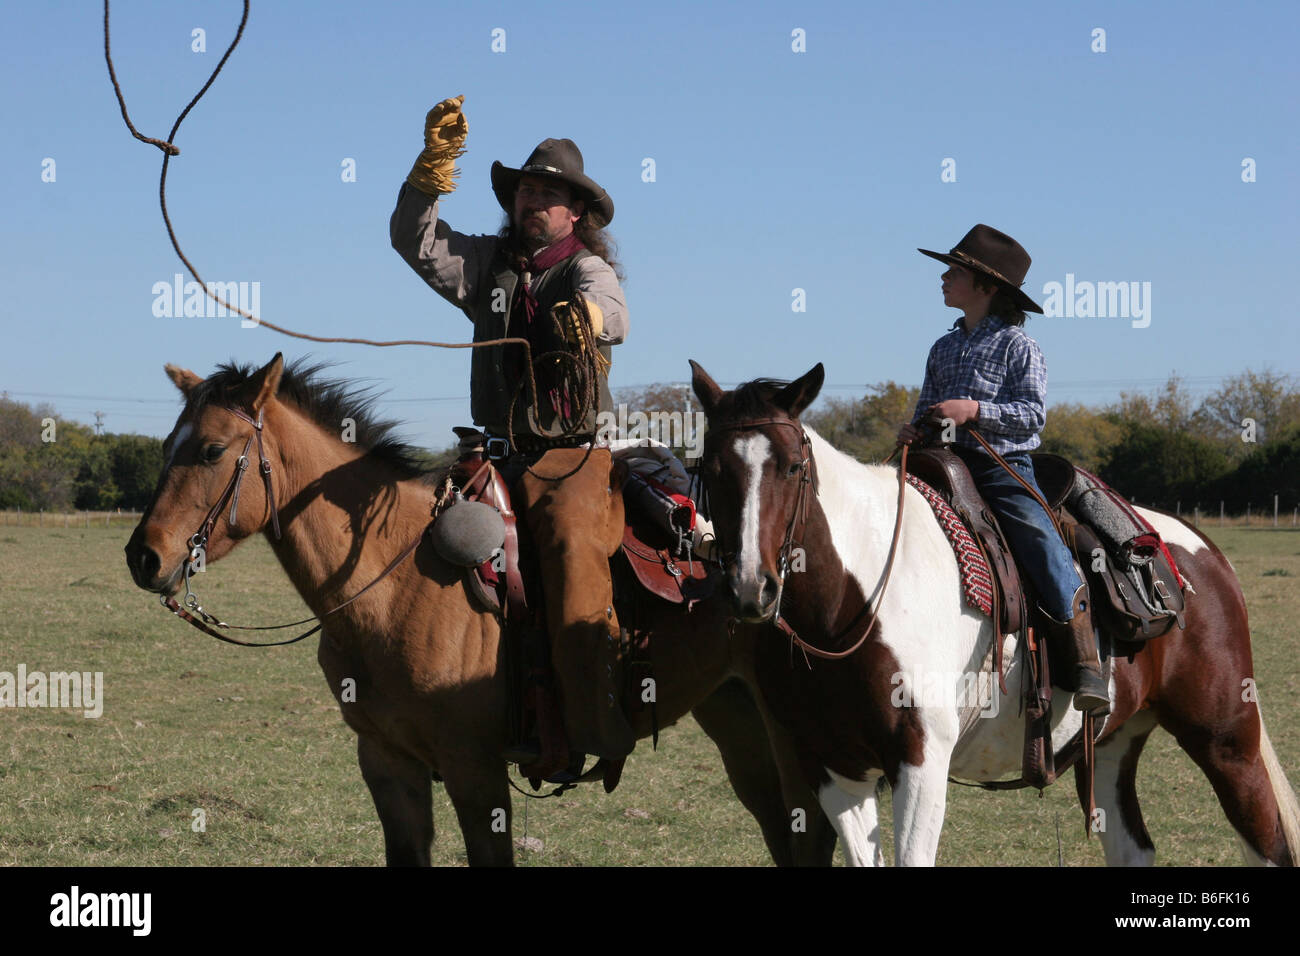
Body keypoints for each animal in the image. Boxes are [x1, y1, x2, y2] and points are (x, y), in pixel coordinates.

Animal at [122, 356, 832, 868]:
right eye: (168, 445)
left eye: (212, 450)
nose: (143, 557)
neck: (396, 584)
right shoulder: (388, 767)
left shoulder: (476, 773)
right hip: (735, 715)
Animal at [691, 358, 1300, 868]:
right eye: (711, 469)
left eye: (793, 466)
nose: (752, 588)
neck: (853, 602)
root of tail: (1199, 551)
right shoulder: (832, 769)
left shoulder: (920, 762)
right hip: (1113, 740)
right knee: (1133, 847)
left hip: (1226, 738)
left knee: (1267, 841)